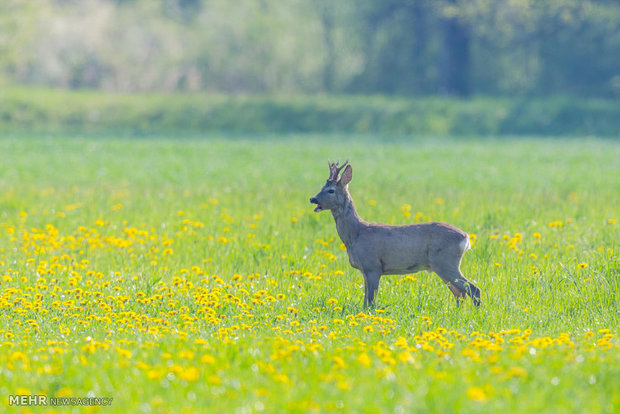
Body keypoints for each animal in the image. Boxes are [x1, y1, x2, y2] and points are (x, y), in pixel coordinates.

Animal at [308, 162, 480, 308]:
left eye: (331, 190)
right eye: (322, 186)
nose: (313, 199)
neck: (355, 235)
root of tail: (466, 238)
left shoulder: (373, 266)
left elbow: (370, 302)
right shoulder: (364, 269)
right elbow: (365, 301)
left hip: (446, 262)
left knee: (472, 289)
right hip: (443, 265)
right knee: (460, 293)